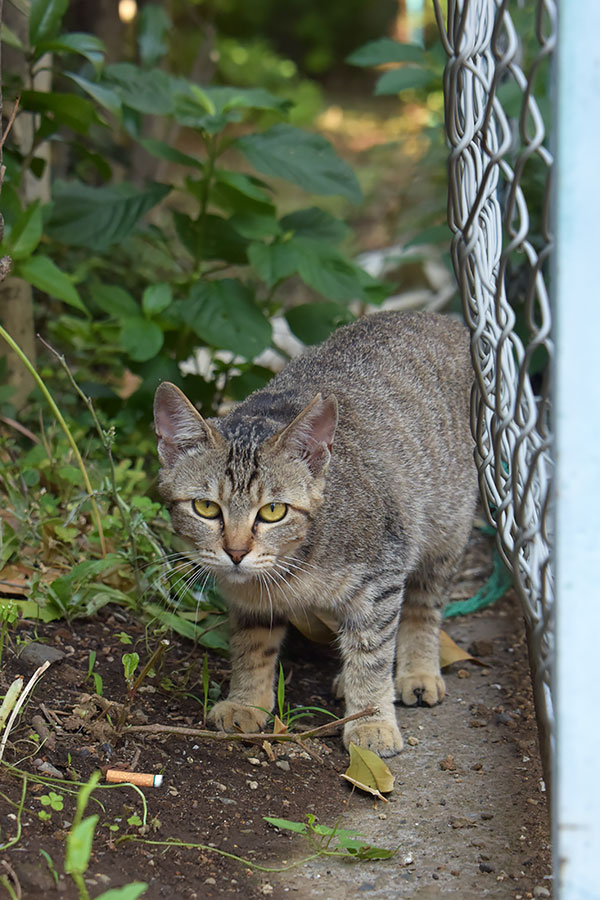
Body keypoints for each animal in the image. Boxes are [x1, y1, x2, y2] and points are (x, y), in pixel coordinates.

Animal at [154, 312, 478, 756]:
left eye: (273, 511)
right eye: (206, 508)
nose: (236, 552)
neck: (294, 565)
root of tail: (443, 318)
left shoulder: (382, 577)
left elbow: (372, 654)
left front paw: (371, 720)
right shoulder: (249, 599)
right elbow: (252, 646)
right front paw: (247, 701)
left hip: (446, 528)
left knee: (422, 606)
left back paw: (416, 672)